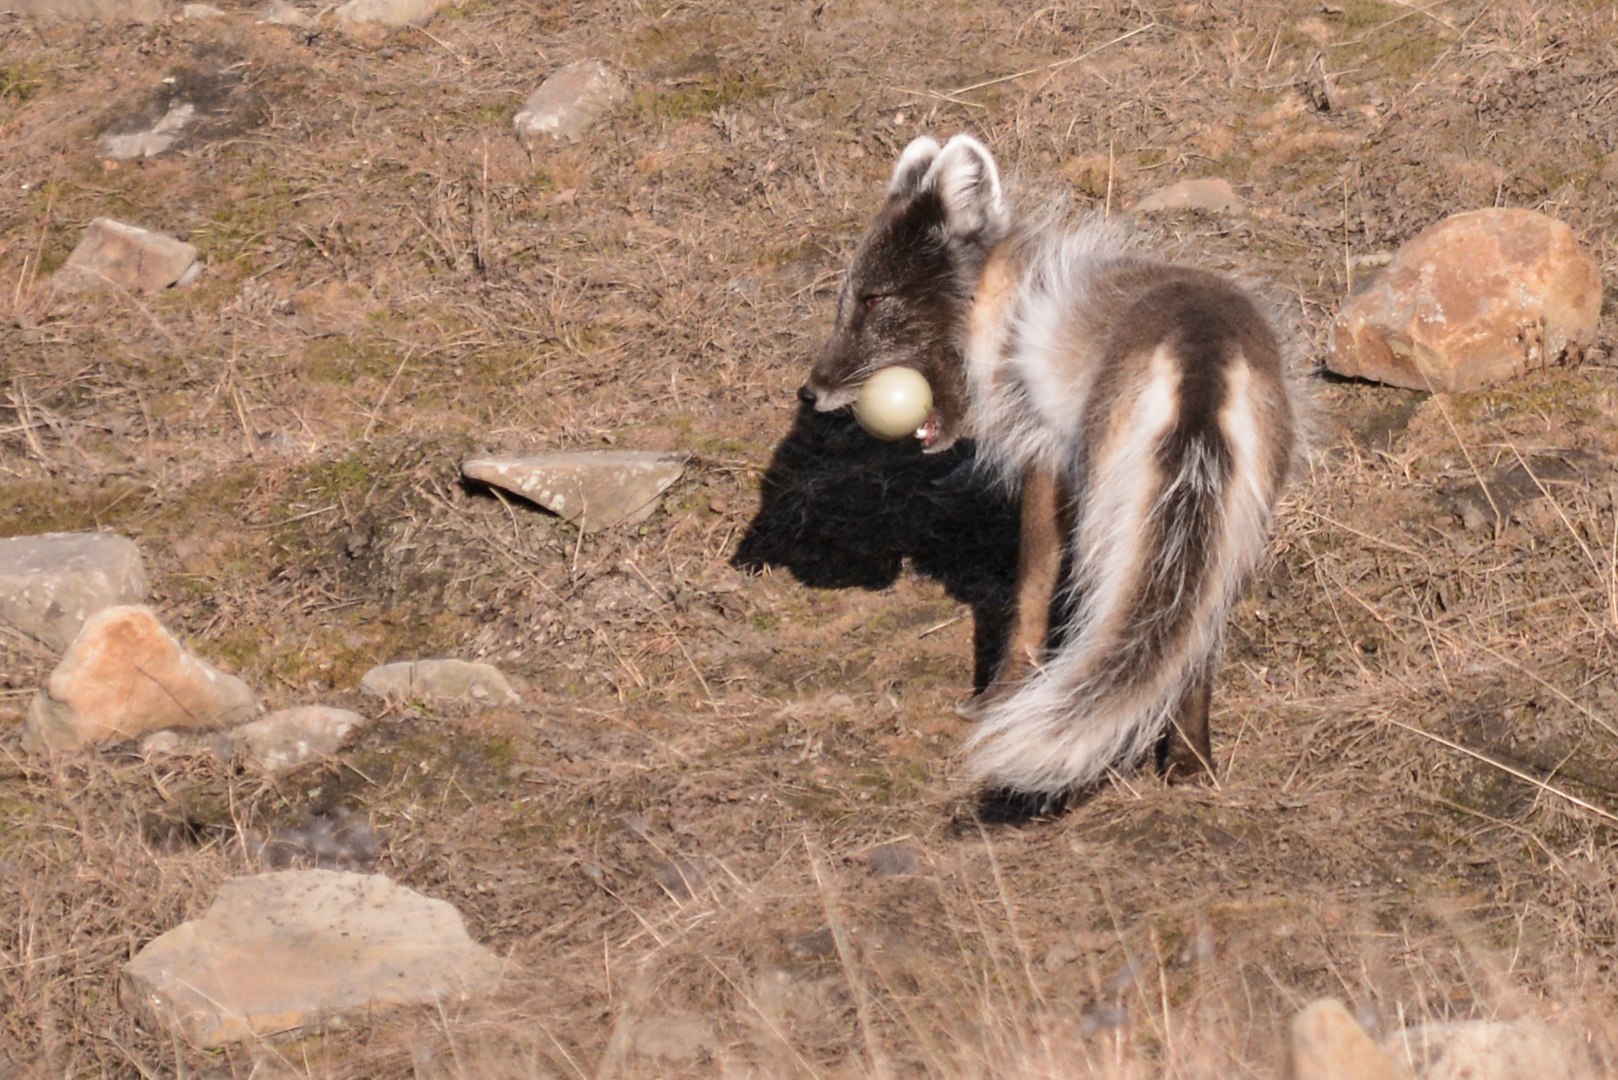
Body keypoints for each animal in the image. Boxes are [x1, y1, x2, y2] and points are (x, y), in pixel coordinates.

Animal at [796, 132, 1300, 793]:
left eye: (874, 297)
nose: (810, 393)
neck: (1008, 303)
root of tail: (1202, 344)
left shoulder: (1047, 455)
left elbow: (1031, 589)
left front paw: (999, 696)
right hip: (1234, 518)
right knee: (1196, 633)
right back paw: (1190, 763)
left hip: (1119, 512)